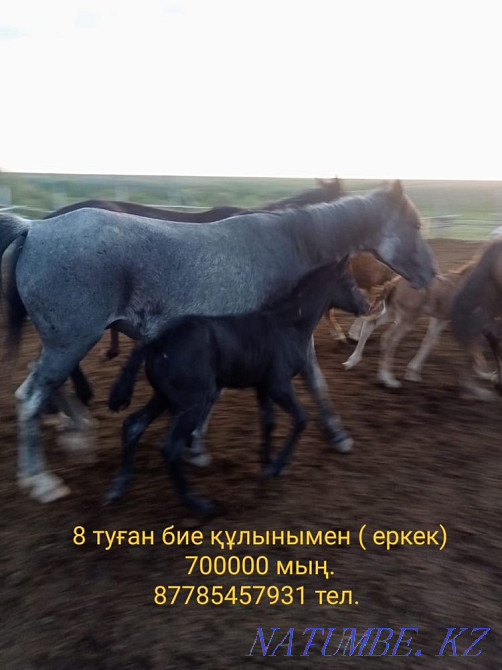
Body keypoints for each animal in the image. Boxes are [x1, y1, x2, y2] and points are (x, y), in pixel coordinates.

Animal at [107, 260, 369, 514]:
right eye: (350, 282)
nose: (366, 305)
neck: (289, 324)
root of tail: (154, 340)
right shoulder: (279, 385)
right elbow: (301, 419)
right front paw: (277, 466)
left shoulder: (262, 386)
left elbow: (268, 422)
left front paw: (267, 462)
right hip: (193, 402)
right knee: (170, 446)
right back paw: (197, 503)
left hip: (164, 397)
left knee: (133, 425)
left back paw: (119, 486)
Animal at [342, 261, 475, 387]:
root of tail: (393, 284)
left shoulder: (440, 318)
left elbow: (429, 341)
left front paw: (412, 373)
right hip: (406, 319)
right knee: (389, 339)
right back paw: (388, 379)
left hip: (391, 312)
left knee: (370, 324)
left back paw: (351, 362)